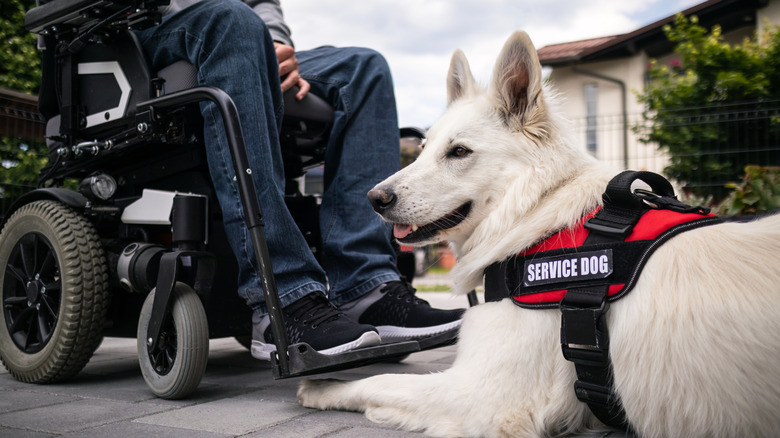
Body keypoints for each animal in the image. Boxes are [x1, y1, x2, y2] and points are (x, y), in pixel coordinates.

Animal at [296, 31, 780, 438]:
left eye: (459, 152)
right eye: (425, 149)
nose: (374, 198)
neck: (536, 214)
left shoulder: (480, 397)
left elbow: (379, 380)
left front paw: (323, 389)